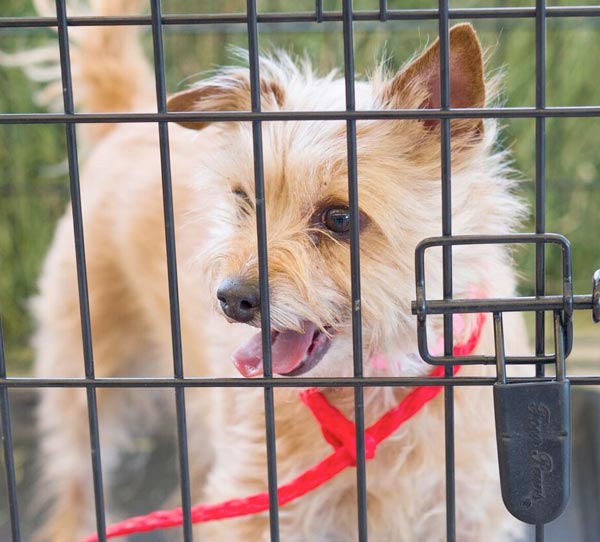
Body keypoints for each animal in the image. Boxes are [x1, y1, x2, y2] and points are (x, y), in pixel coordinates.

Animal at [15, 0, 528, 540]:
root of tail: (130, 118)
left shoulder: (471, 510)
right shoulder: (258, 504)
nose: (230, 299)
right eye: (244, 199)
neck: (374, 386)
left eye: (339, 217)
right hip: (85, 372)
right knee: (76, 476)